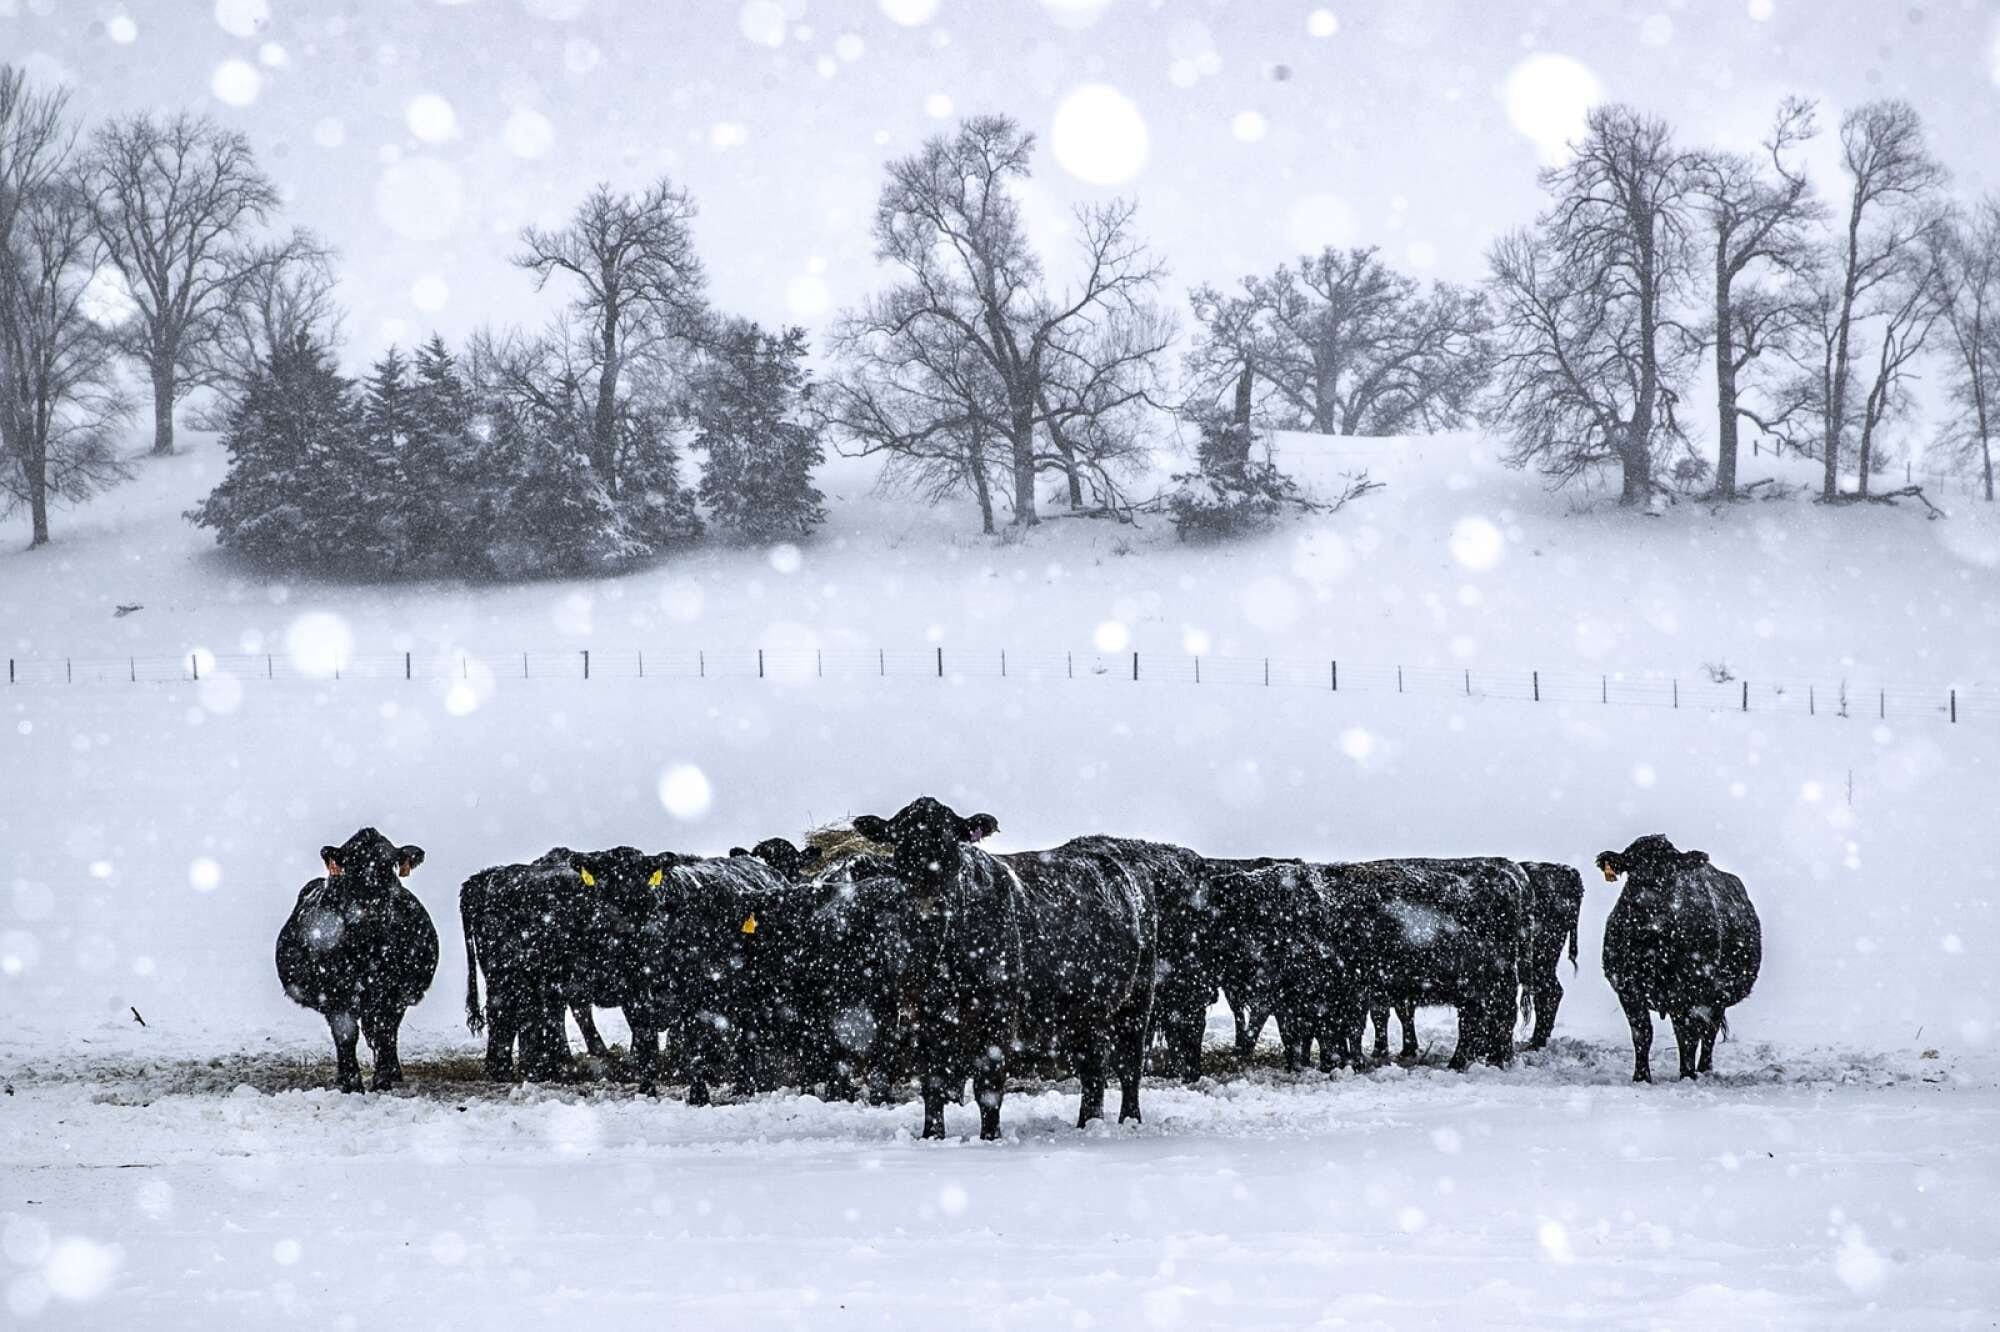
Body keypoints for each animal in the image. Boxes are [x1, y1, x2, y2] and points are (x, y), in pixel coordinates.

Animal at [275, 828, 437, 1092]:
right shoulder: (335, 991)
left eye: (389, 864)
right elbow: (346, 1035)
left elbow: (383, 1032)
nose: (371, 906)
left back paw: (393, 1071)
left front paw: (382, 1080)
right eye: (351, 863)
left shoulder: (393, 991)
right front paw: (351, 1083)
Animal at [850, 798, 1176, 1141]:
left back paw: (1129, 1120)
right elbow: (933, 1084)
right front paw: (932, 1135)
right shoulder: (922, 1016)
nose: (930, 902)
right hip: (1087, 1011)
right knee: (1093, 1067)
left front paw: (990, 1137)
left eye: (951, 843)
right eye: (901, 844)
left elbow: (988, 1086)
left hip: (1136, 1000)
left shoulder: (999, 1012)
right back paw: (1088, 1123)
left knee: (1129, 1064)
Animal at [1597, 835, 1761, 1082]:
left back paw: (1704, 1069)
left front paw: (1687, 1074)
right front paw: (1641, 1076)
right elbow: (1642, 1032)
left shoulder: (1686, 991)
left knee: (1709, 1031)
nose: (1649, 902)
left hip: (1715, 997)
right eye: (1632, 869)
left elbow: (1686, 1035)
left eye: (1670, 871)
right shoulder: (1628, 987)